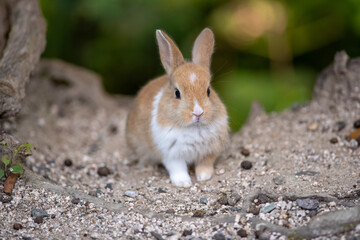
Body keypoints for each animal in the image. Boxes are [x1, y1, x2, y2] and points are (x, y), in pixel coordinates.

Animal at [125, 27, 229, 187]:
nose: (198, 112)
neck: (194, 128)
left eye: (208, 91)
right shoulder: (172, 154)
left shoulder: (208, 152)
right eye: (177, 93)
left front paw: (204, 176)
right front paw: (183, 183)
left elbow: (204, 164)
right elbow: (177, 168)